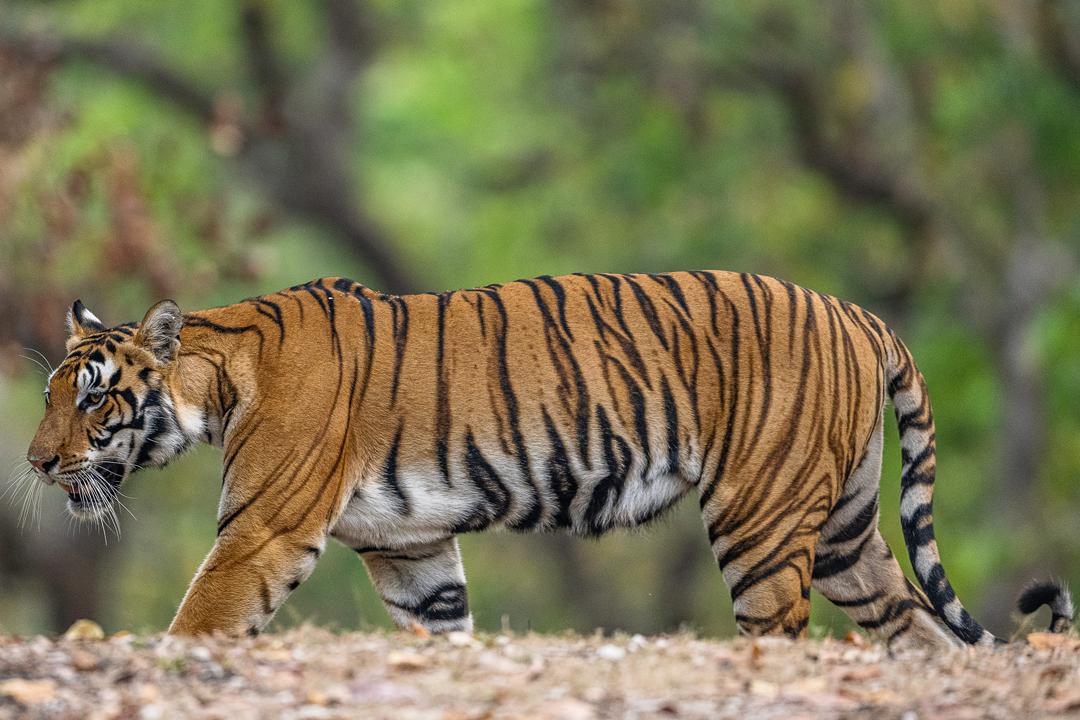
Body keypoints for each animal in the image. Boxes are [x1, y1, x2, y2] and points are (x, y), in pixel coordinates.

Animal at [25, 271, 1073, 646]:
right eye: (48, 396)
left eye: (94, 398)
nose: (35, 464)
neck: (217, 379)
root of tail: (857, 312)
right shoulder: (412, 551)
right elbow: (443, 634)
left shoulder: (261, 531)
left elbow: (196, 623)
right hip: (850, 533)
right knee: (918, 631)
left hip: (762, 522)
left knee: (779, 632)